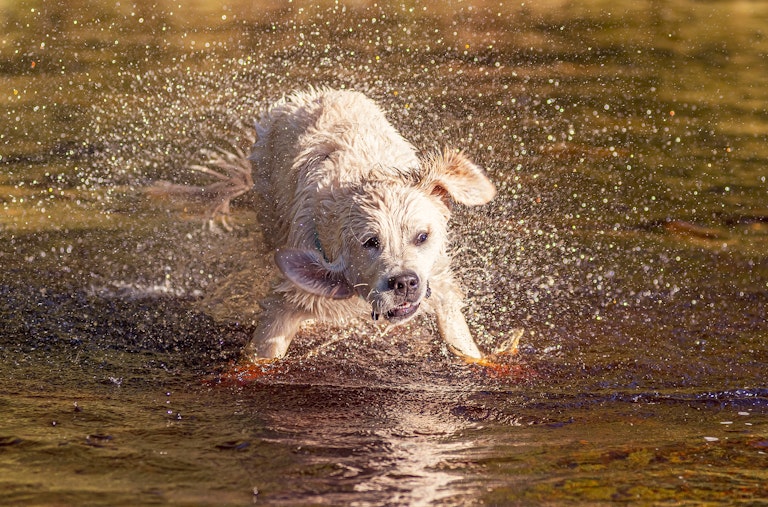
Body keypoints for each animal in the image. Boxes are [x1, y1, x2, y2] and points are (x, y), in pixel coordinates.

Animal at [175, 89, 500, 364]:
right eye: (370, 242)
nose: (405, 283)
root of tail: (311, 96)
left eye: (422, 236)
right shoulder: (291, 293)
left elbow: (461, 340)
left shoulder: (439, 281)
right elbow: (266, 350)